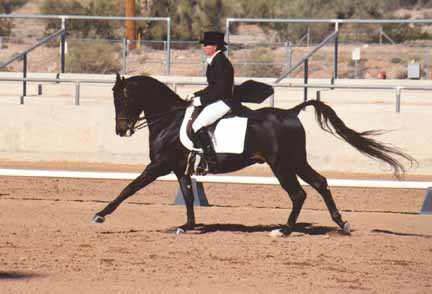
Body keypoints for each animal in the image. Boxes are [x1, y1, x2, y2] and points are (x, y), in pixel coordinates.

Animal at [90, 74, 412, 237]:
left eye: (124, 98)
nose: (121, 130)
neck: (169, 119)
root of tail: (291, 112)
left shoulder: (157, 165)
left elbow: (129, 188)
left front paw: (100, 215)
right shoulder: (179, 168)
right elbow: (189, 196)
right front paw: (188, 226)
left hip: (280, 164)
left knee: (298, 194)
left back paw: (284, 230)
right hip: (296, 161)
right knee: (320, 183)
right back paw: (341, 224)